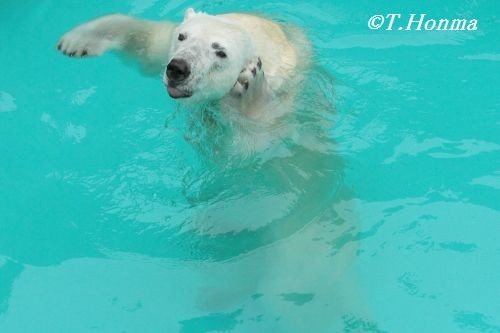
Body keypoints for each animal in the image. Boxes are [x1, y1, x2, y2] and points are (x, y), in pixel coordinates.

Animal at [57, 8, 308, 121]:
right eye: (182, 36)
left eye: (220, 52)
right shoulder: (164, 48)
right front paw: (75, 41)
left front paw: (251, 85)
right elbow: (145, 42)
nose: (177, 68)